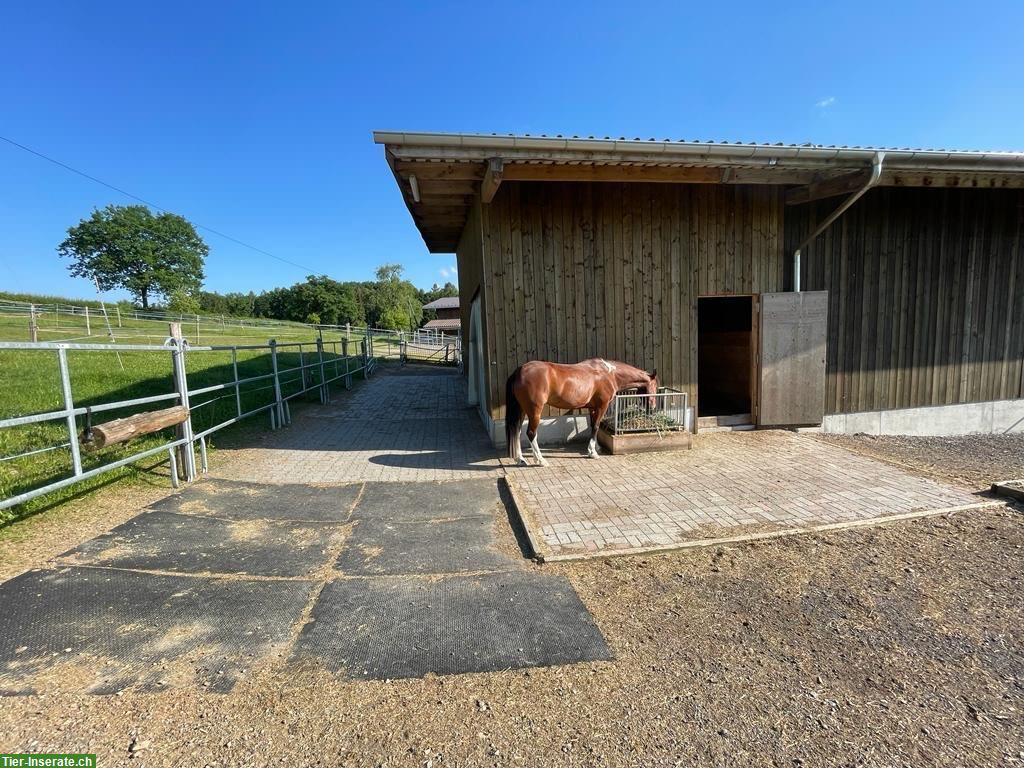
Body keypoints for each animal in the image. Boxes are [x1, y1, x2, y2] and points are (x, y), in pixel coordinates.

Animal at [503, 362, 655, 468]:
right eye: (654, 387)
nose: (652, 409)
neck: (609, 374)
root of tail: (519, 371)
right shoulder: (602, 406)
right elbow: (596, 427)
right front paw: (593, 453)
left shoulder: (593, 408)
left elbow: (593, 426)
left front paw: (596, 447)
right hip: (535, 411)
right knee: (531, 433)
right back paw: (540, 460)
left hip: (522, 409)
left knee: (516, 431)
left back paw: (520, 459)